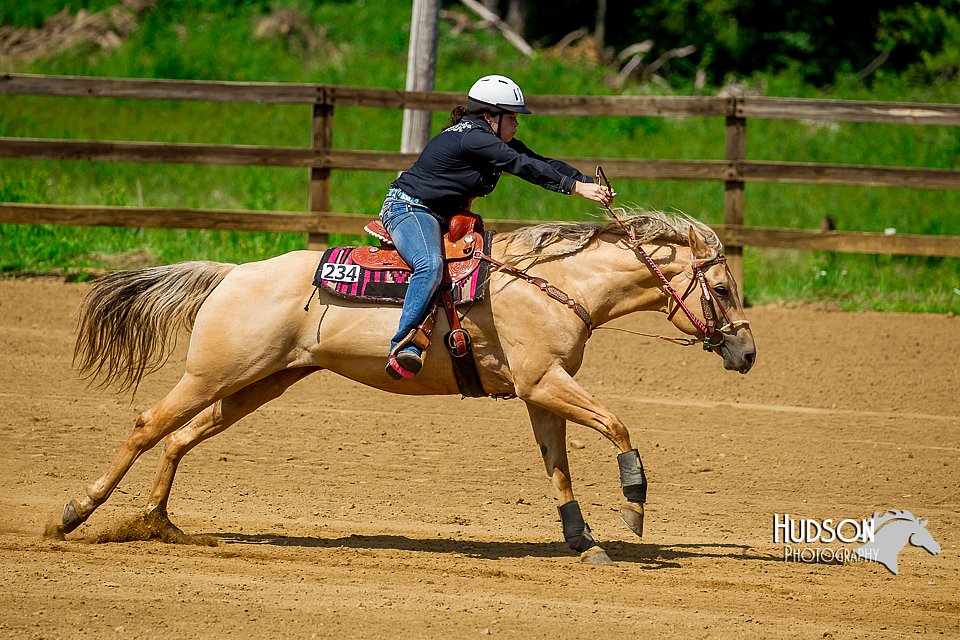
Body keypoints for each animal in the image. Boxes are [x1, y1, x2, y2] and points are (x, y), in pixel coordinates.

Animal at [48, 208, 756, 564]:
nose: (747, 352)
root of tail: (232, 272)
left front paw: (585, 543)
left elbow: (558, 466)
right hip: (214, 374)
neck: (556, 284)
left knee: (180, 438)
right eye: (722, 289)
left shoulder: (540, 392)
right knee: (149, 426)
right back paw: (77, 512)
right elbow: (617, 424)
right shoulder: (546, 382)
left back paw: (158, 524)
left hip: (258, 384)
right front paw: (634, 504)